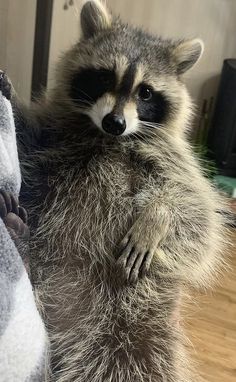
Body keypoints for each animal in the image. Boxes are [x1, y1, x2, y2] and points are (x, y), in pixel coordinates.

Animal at [12, 0, 229, 382]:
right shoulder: (54, 139)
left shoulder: (175, 158)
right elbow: (29, 144)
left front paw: (158, 213)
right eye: (105, 77)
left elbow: (198, 215)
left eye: (146, 92)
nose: (115, 122)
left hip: (139, 324)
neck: (105, 137)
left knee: (138, 359)